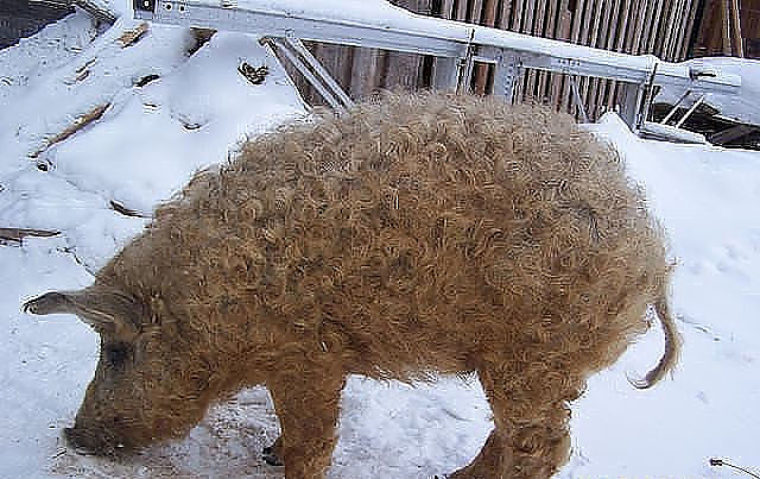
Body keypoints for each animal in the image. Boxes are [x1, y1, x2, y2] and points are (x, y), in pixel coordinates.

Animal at [22, 91, 676, 479]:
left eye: (116, 350)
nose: (73, 434)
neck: (215, 300)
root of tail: (651, 249)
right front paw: (269, 453)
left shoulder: (308, 355)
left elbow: (312, 439)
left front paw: (283, 460)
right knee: (514, 434)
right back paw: (453, 478)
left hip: (536, 355)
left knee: (542, 446)